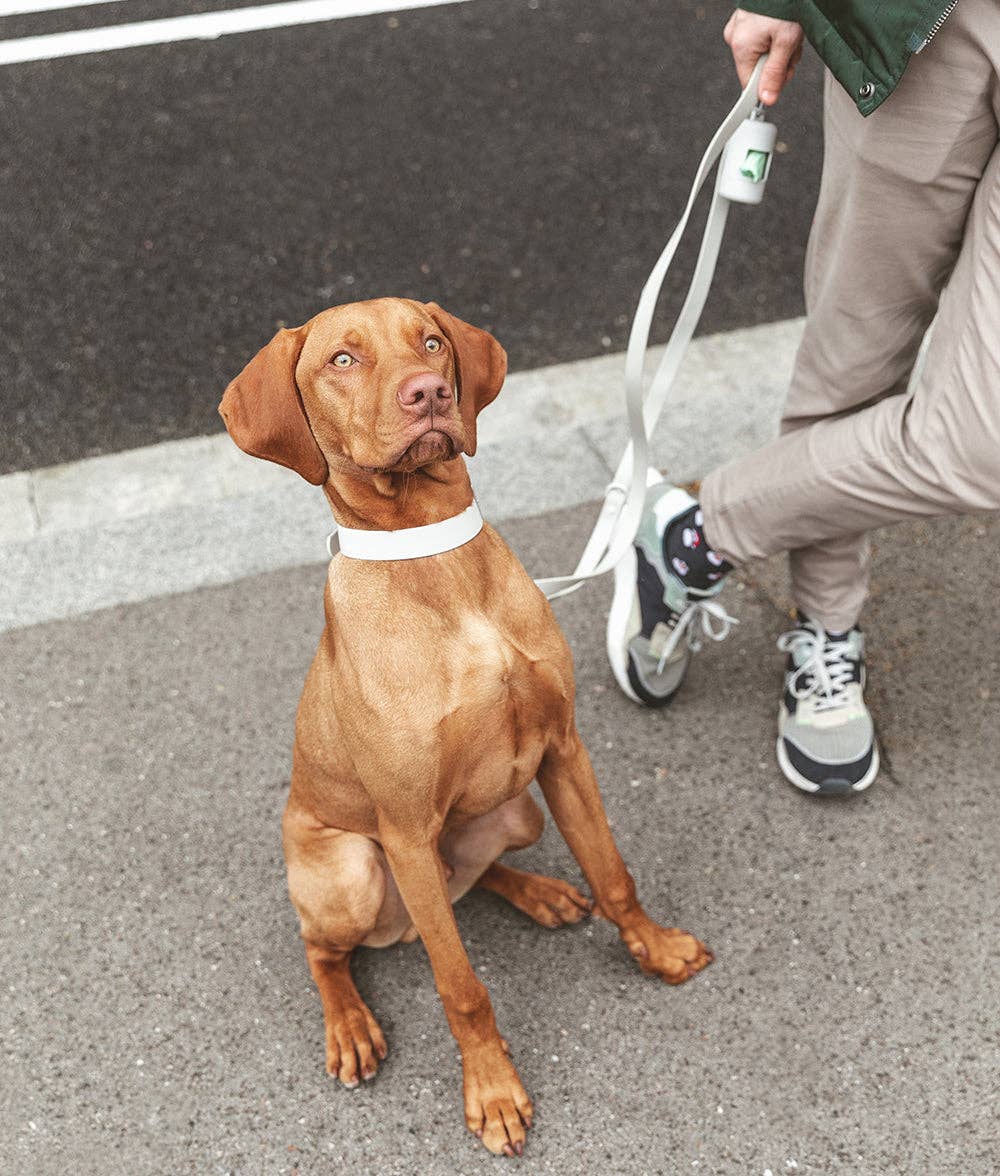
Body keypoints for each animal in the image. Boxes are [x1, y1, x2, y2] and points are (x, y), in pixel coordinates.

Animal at [220, 298, 710, 1152]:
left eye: (431, 342)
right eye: (342, 359)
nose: (428, 393)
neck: (435, 561)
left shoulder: (563, 753)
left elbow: (614, 875)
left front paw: (654, 947)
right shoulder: (406, 829)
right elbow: (461, 985)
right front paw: (493, 1090)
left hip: (515, 811)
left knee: (468, 881)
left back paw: (541, 893)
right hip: (356, 870)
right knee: (327, 947)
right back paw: (349, 1025)